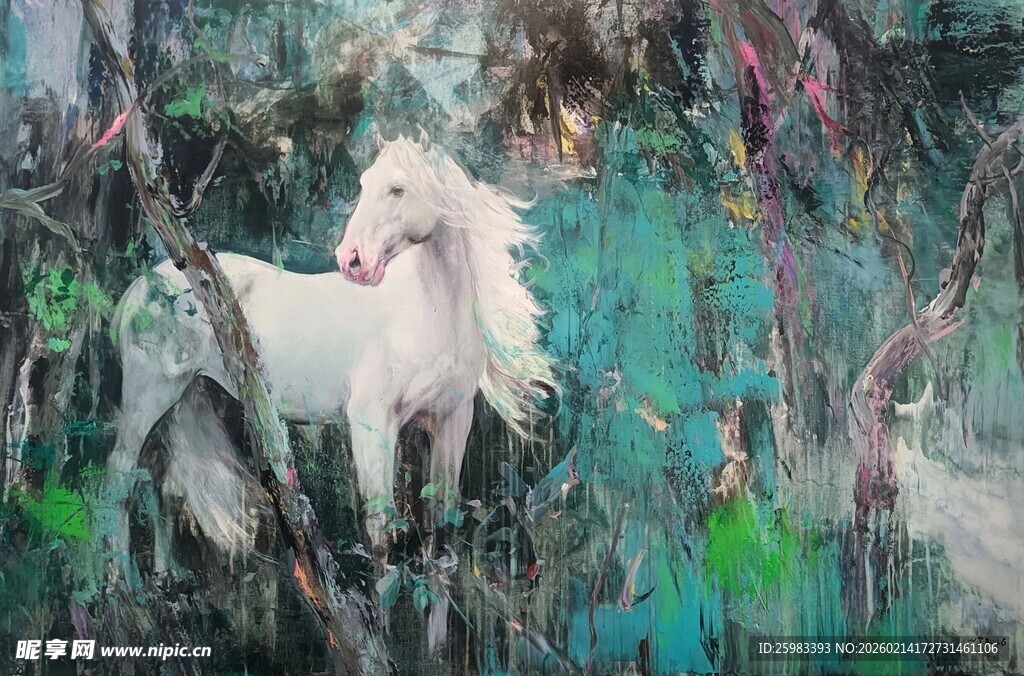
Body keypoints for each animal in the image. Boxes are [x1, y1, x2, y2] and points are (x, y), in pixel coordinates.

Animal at [106, 131, 557, 648]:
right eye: (364, 183)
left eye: (398, 189)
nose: (352, 261)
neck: (426, 314)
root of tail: (142, 287)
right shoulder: (372, 424)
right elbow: (380, 530)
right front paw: (381, 637)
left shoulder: (450, 424)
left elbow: (439, 527)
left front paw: (435, 648)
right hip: (150, 397)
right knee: (119, 477)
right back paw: (122, 591)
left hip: (188, 398)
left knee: (163, 484)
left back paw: (169, 580)